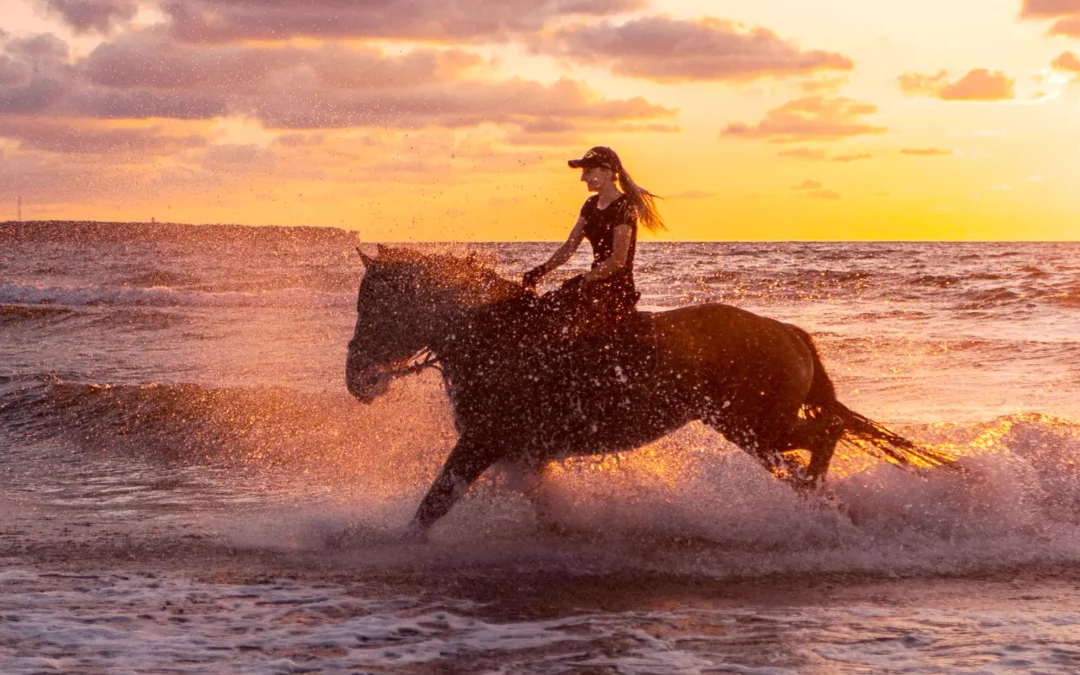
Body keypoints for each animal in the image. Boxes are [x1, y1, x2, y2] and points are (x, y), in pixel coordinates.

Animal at [345, 245, 954, 533]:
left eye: (371, 305)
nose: (355, 379)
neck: (492, 336)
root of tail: (789, 332)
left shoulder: (482, 443)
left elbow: (433, 505)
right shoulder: (522, 453)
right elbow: (542, 506)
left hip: (757, 426)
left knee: (824, 432)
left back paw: (814, 497)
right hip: (749, 430)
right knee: (820, 437)